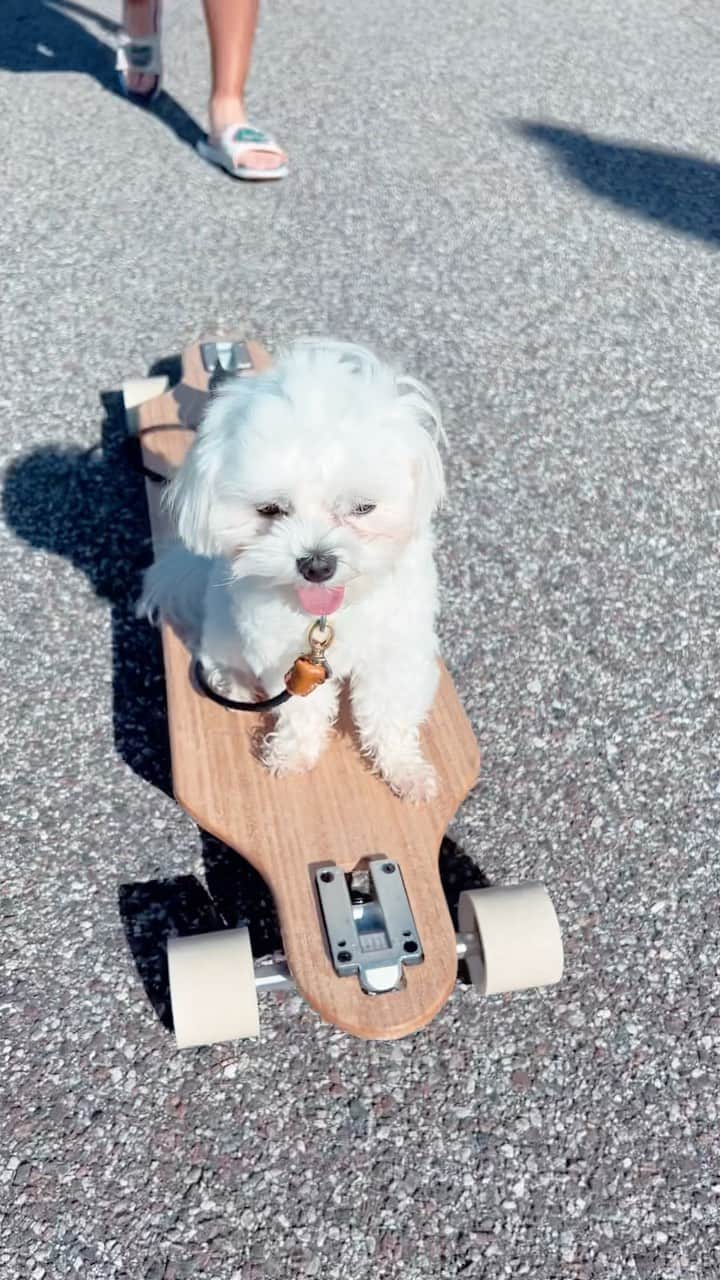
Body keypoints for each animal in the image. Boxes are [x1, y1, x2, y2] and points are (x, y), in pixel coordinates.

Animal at [136, 340, 443, 798]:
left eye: (363, 507)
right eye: (270, 509)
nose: (317, 564)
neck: (329, 618)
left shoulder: (397, 651)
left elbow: (388, 714)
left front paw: (405, 769)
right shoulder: (284, 658)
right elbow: (303, 711)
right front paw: (293, 755)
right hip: (225, 628)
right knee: (214, 655)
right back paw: (232, 683)